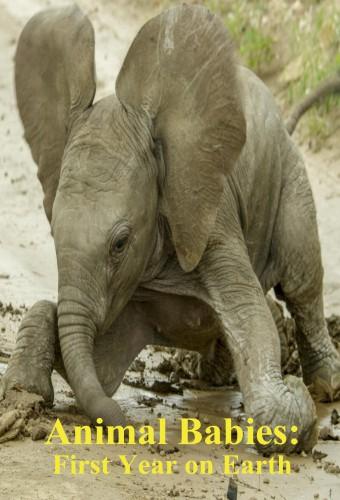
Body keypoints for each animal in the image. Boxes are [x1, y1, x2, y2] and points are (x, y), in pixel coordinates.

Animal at [1, 3, 338, 454]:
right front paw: (27, 390)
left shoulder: (210, 222)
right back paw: (213, 376)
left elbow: (252, 321)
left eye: (121, 243)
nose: (131, 430)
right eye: (53, 230)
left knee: (302, 282)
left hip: (290, 174)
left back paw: (324, 386)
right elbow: (96, 366)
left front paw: (294, 400)